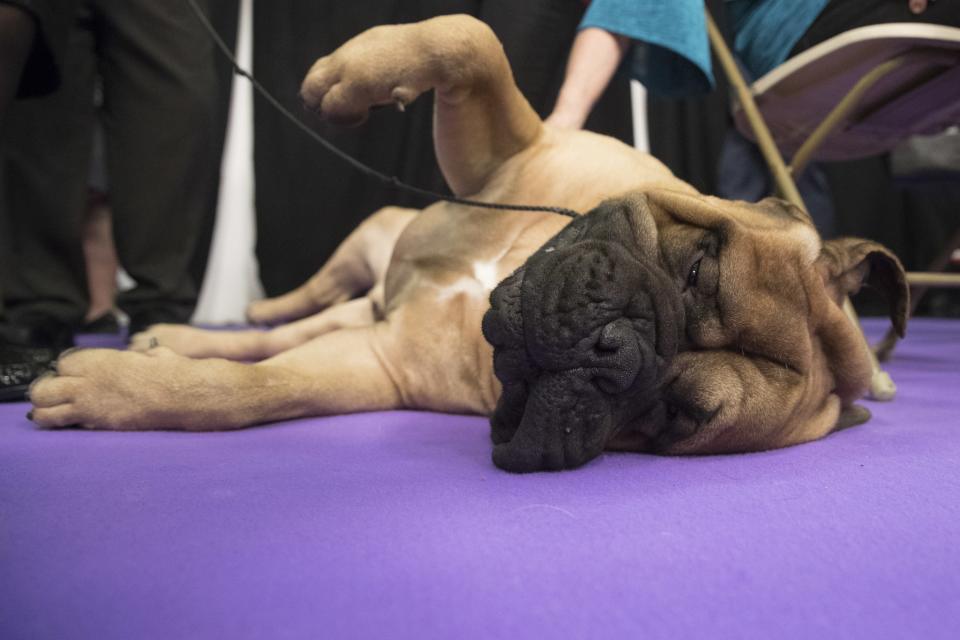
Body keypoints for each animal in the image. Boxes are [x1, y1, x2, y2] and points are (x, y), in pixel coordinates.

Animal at [24, 15, 908, 472]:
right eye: (695, 268)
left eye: (674, 418)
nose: (615, 349)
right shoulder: (505, 153)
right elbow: (469, 39)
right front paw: (353, 76)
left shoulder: (375, 363)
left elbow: (255, 388)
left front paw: (113, 390)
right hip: (362, 247)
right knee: (290, 312)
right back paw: (206, 321)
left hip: (363, 317)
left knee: (278, 340)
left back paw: (164, 343)